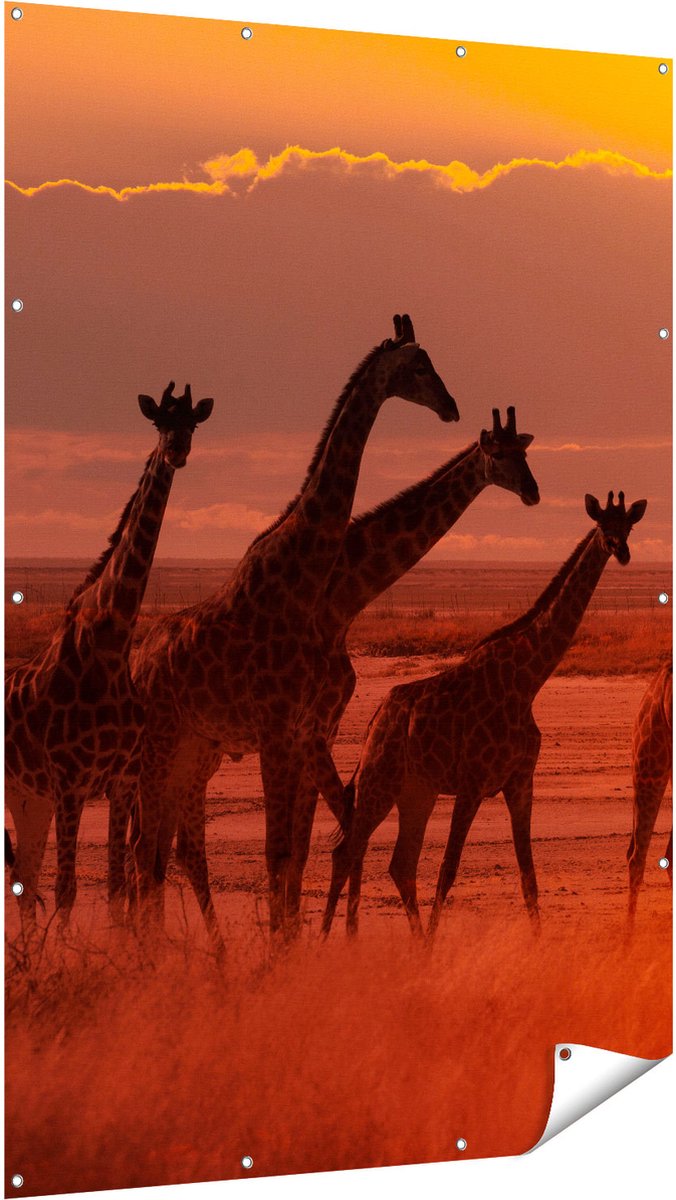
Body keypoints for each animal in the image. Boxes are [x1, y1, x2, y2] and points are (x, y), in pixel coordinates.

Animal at [4, 382, 213, 931]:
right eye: (159, 421)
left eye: (193, 423)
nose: (177, 450)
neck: (112, 641)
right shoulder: (69, 782)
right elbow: (68, 890)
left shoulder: (119, 781)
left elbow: (118, 889)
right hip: (28, 792)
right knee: (27, 883)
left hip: (28, 797)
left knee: (23, 883)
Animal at [130, 315, 458, 941]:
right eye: (418, 365)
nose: (452, 406)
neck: (304, 580)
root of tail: (134, 663)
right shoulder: (279, 730)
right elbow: (279, 853)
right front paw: (283, 952)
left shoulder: (305, 730)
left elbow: (296, 854)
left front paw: (295, 946)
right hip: (159, 746)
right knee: (144, 847)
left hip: (190, 747)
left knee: (154, 847)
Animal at [321, 490, 648, 938]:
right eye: (602, 524)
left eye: (629, 525)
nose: (622, 550)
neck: (527, 681)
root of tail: (375, 720)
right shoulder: (473, 783)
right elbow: (448, 868)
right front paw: (438, 942)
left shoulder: (520, 782)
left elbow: (528, 874)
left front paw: (537, 942)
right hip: (378, 783)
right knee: (345, 853)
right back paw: (324, 941)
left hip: (416, 793)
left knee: (399, 864)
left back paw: (410, 942)